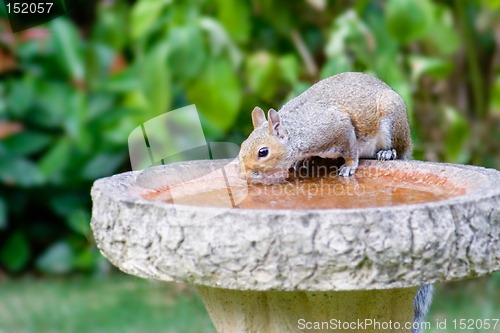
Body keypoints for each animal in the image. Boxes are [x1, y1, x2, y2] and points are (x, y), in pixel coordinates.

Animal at [240, 71, 412, 184]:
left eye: (263, 152)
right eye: (242, 145)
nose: (246, 175)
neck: (298, 132)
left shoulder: (337, 126)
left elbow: (350, 150)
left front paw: (348, 167)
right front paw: (300, 160)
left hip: (393, 119)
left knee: (399, 149)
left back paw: (387, 152)